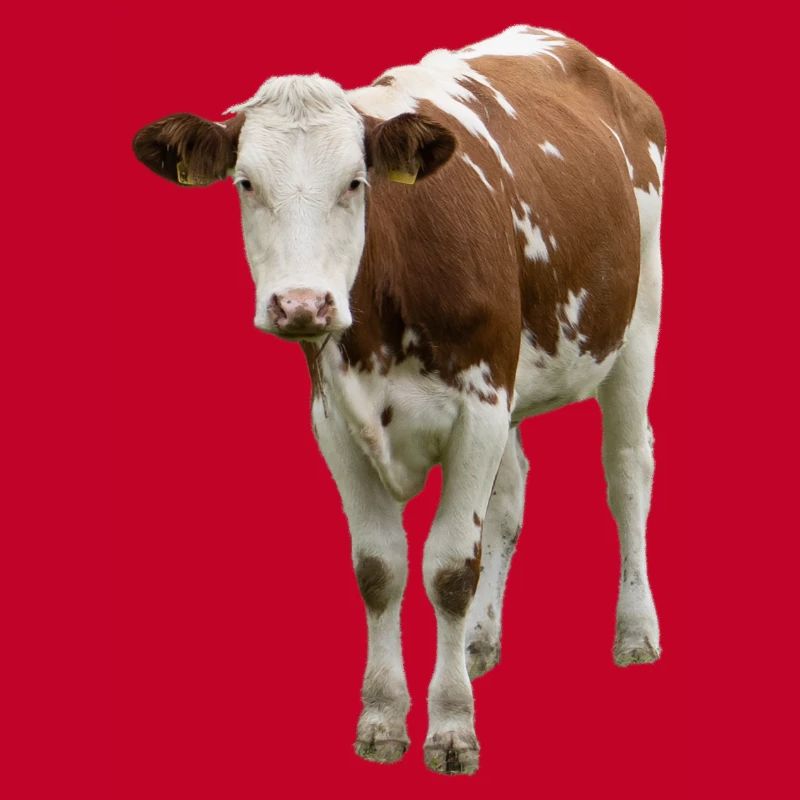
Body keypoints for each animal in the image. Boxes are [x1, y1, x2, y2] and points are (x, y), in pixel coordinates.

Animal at [132, 25, 665, 775]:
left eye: (355, 183)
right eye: (245, 183)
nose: (302, 304)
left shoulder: (478, 404)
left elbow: (449, 568)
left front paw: (452, 729)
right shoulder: (334, 418)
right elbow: (380, 569)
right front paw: (383, 718)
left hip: (637, 323)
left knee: (626, 472)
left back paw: (635, 630)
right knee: (511, 497)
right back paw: (480, 641)